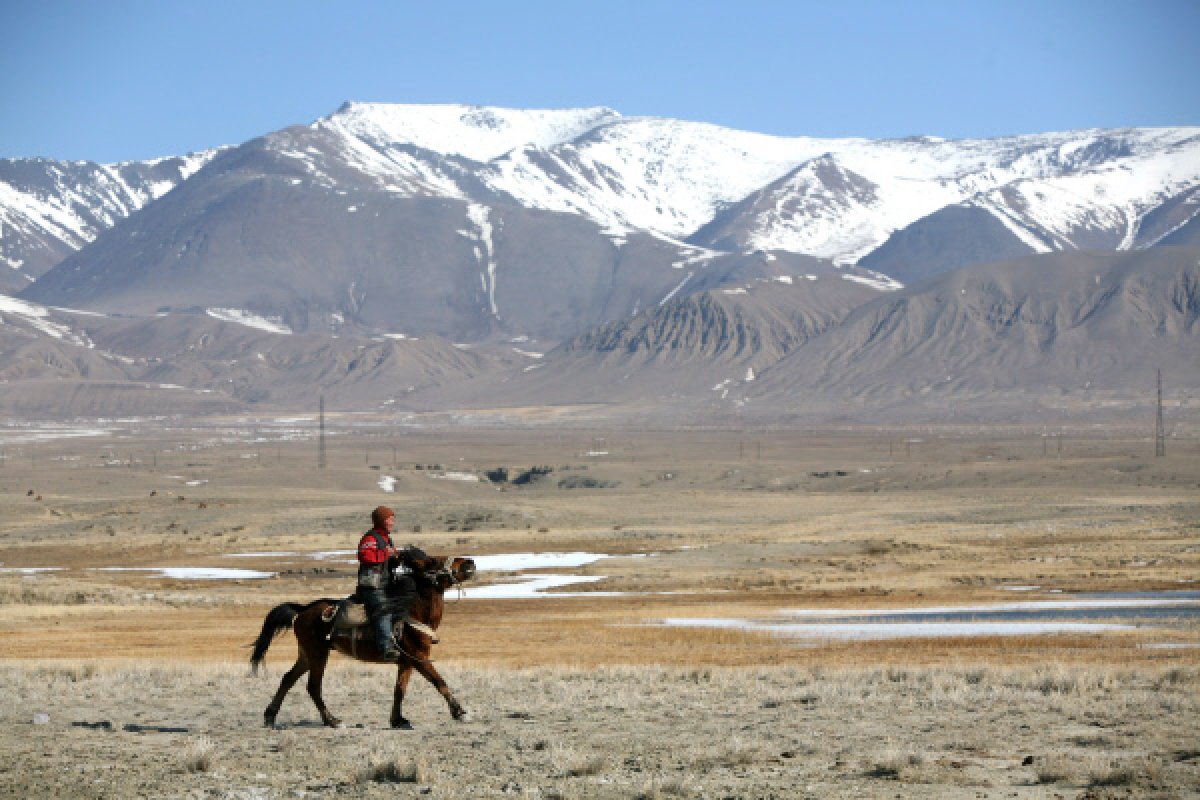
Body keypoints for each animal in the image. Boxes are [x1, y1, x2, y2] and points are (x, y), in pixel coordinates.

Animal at [250, 554, 475, 729]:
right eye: (434, 560)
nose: (470, 563)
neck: (412, 612)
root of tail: (303, 609)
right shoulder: (419, 658)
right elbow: (439, 682)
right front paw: (460, 713)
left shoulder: (406, 662)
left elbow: (399, 691)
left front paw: (398, 720)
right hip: (318, 654)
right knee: (313, 687)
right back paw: (332, 720)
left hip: (307, 654)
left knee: (288, 678)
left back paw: (270, 716)